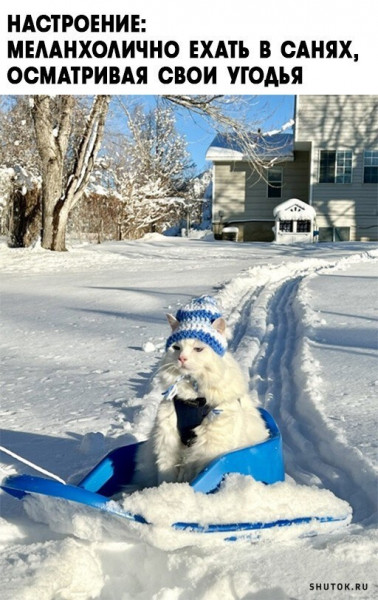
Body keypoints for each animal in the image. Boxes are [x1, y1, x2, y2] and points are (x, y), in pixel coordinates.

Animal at [134, 296, 268, 488]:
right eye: (176, 348)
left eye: (198, 349)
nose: (182, 358)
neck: (192, 396)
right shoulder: (167, 442)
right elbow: (166, 478)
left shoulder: (208, 448)